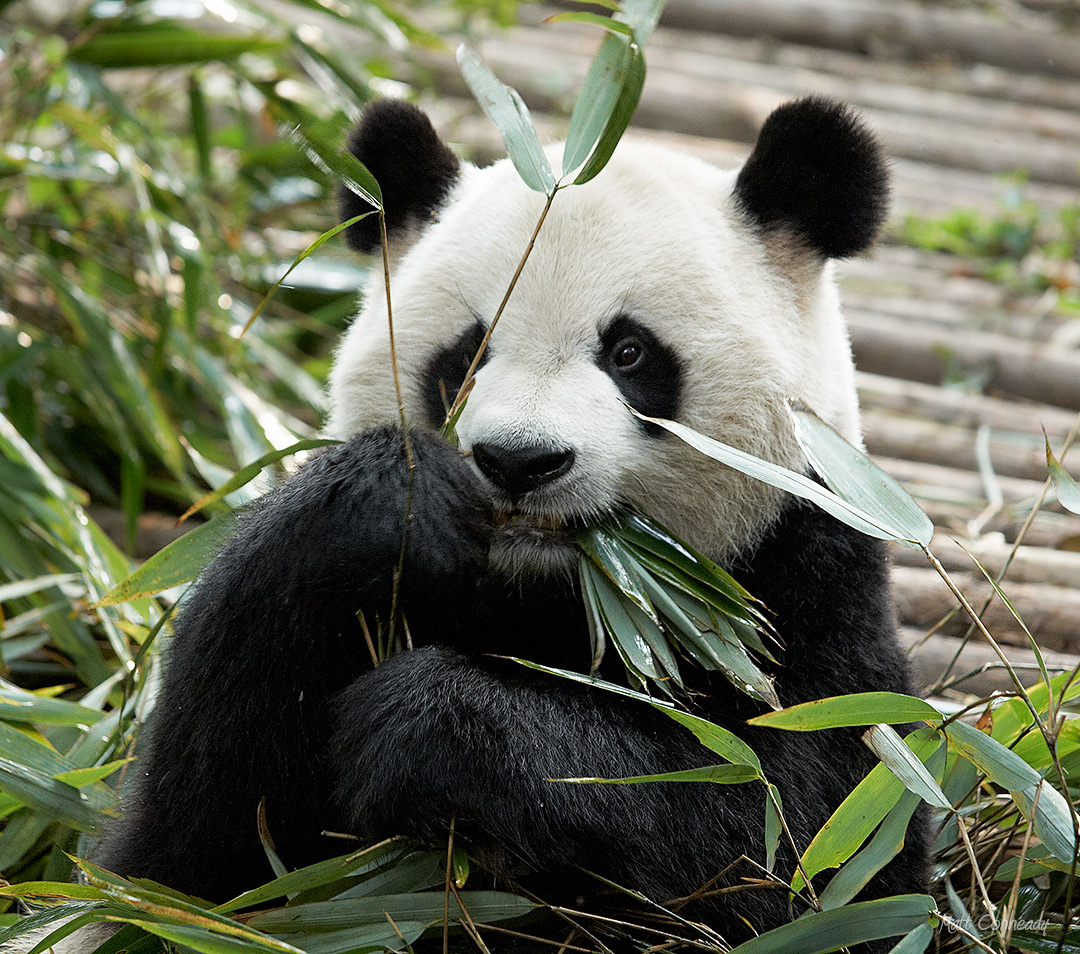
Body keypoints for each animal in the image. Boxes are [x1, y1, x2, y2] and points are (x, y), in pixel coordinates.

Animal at [95, 95, 928, 946]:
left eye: (629, 353)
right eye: (469, 351)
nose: (520, 460)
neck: (539, 593)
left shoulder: (806, 578)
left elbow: (795, 829)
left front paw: (429, 724)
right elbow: (198, 864)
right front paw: (393, 500)